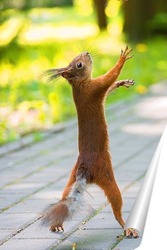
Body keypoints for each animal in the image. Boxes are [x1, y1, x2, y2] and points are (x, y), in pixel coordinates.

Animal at [42, 46, 138, 238]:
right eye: (79, 64)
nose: (86, 53)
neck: (79, 85)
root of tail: (85, 169)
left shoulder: (96, 89)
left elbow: (109, 88)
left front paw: (122, 82)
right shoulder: (95, 88)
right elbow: (109, 78)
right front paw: (122, 59)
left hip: (71, 177)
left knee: (64, 198)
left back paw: (56, 225)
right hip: (107, 174)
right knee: (116, 203)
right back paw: (126, 227)